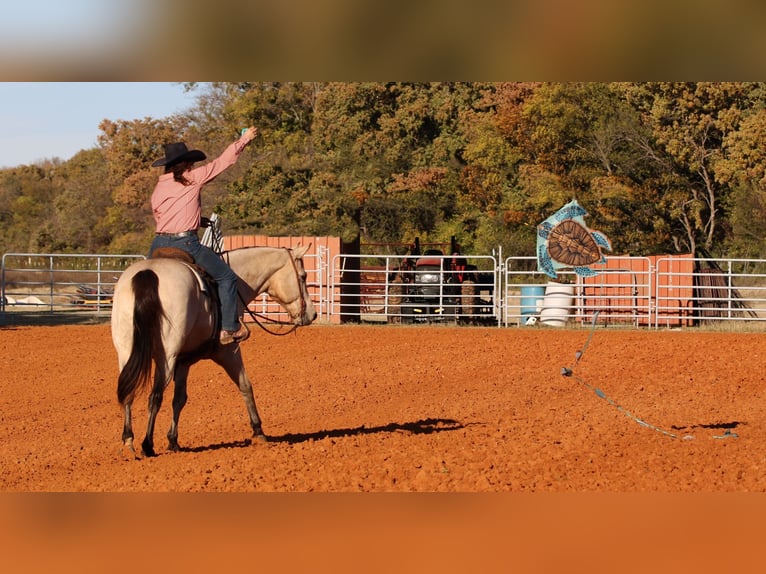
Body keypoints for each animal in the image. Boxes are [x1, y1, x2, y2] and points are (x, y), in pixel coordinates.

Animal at [109, 246, 316, 460]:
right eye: (303, 276)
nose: (313, 314)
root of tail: (148, 273)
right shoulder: (229, 352)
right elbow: (245, 385)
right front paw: (258, 431)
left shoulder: (183, 362)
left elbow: (179, 399)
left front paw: (173, 440)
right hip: (166, 356)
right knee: (155, 396)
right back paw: (147, 445)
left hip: (127, 352)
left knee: (129, 391)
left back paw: (128, 440)